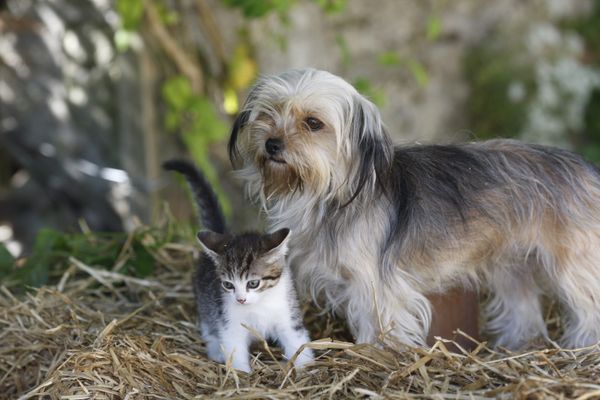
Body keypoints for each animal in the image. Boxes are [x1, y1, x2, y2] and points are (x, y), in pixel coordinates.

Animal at [164, 159, 314, 372]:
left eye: (253, 283)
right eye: (228, 285)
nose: (241, 300)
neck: (259, 305)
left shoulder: (287, 313)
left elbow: (296, 339)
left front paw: (304, 366)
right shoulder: (229, 323)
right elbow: (234, 346)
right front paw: (241, 372)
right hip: (205, 301)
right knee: (208, 325)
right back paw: (215, 350)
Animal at [227, 69, 600, 350]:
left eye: (313, 123)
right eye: (268, 113)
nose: (272, 144)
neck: (331, 191)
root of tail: (587, 169)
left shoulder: (375, 286)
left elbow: (376, 324)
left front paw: (372, 355)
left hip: (571, 266)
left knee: (588, 307)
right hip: (511, 263)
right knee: (523, 309)